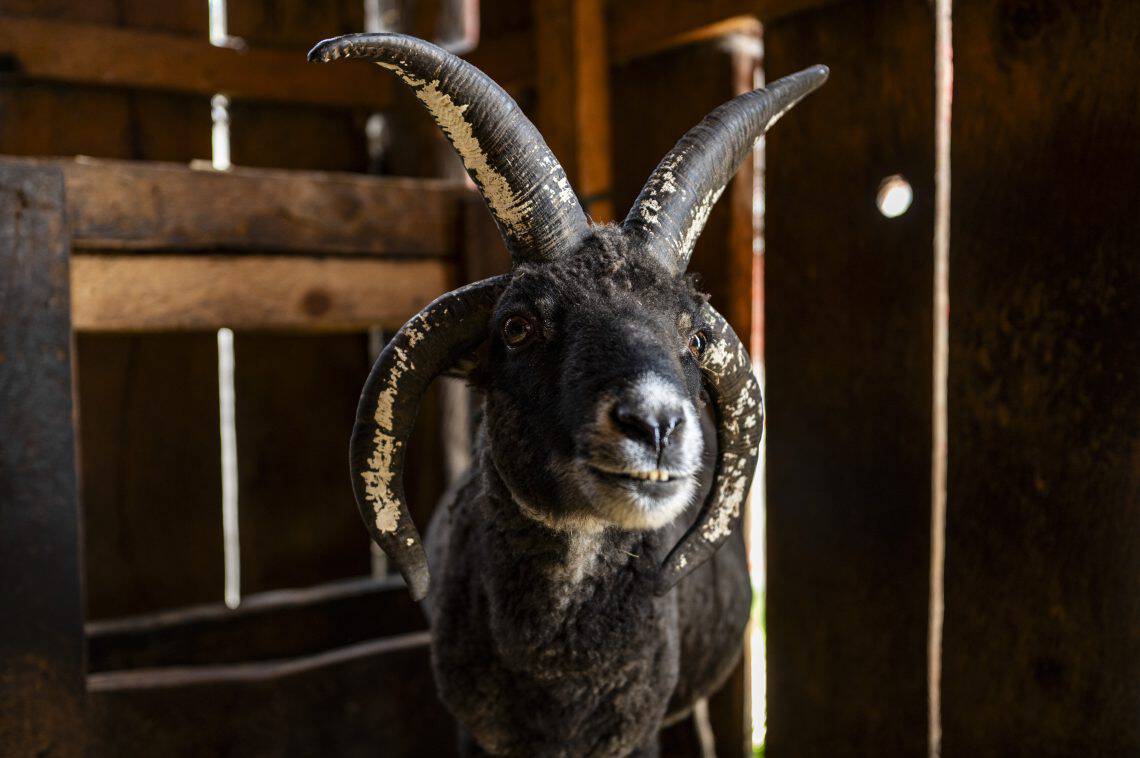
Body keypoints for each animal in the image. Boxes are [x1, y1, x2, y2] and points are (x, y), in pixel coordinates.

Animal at [309, 33, 826, 757]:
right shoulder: (477, 731)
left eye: (695, 336)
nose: (655, 424)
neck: (558, 668)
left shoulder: (636, 733)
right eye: (517, 326)